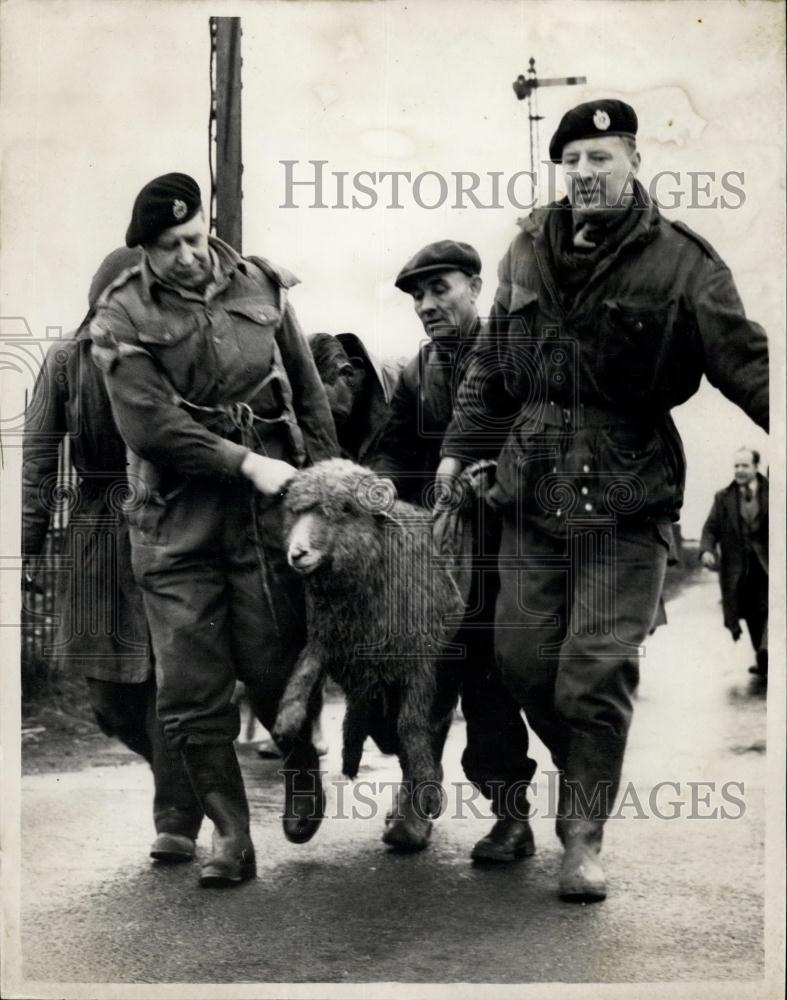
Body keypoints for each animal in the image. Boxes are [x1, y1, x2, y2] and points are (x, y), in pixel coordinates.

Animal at [274, 458, 464, 848]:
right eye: (295, 511)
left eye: (345, 509)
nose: (297, 553)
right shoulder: (327, 641)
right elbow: (301, 673)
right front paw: (287, 722)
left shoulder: (419, 662)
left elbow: (412, 726)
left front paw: (426, 794)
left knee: (426, 729)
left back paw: (412, 817)